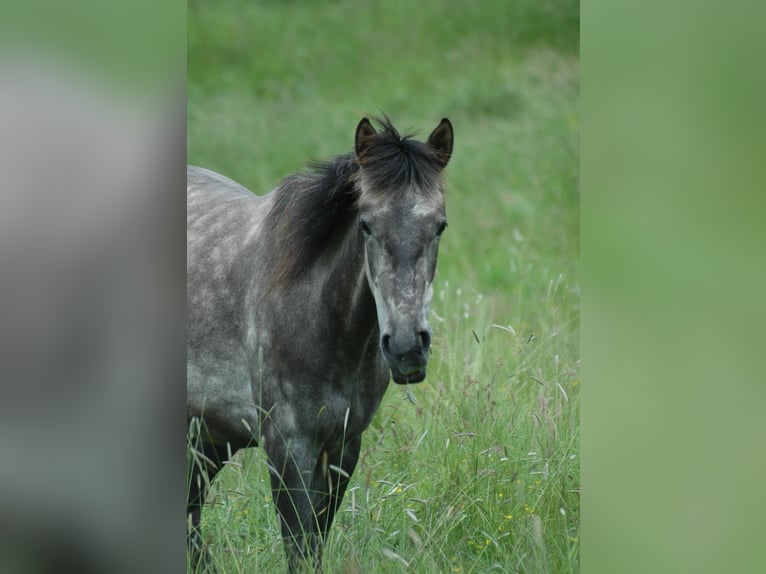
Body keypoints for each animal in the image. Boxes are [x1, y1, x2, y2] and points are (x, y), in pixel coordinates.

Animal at [187, 115, 453, 572]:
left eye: (440, 225)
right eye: (365, 223)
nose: (406, 348)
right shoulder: (288, 447)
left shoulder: (343, 447)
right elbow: (299, 546)